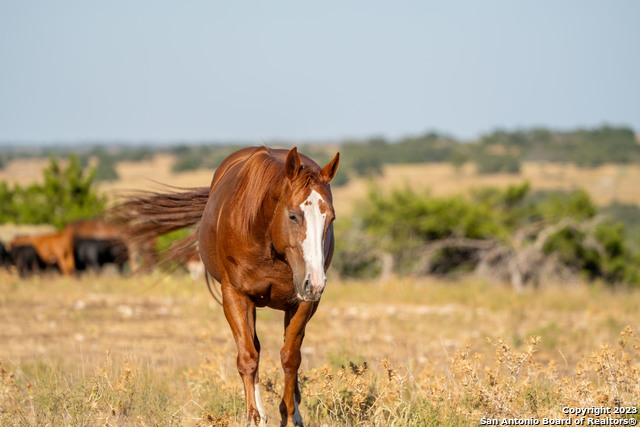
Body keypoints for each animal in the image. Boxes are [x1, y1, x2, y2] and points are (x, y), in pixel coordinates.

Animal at [119, 148, 340, 427]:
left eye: (330, 218)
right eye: (292, 215)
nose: (316, 282)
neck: (265, 238)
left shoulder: (302, 302)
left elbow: (291, 358)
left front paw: (289, 416)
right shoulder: (235, 296)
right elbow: (247, 358)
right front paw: (253, 417)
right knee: (254, 349)